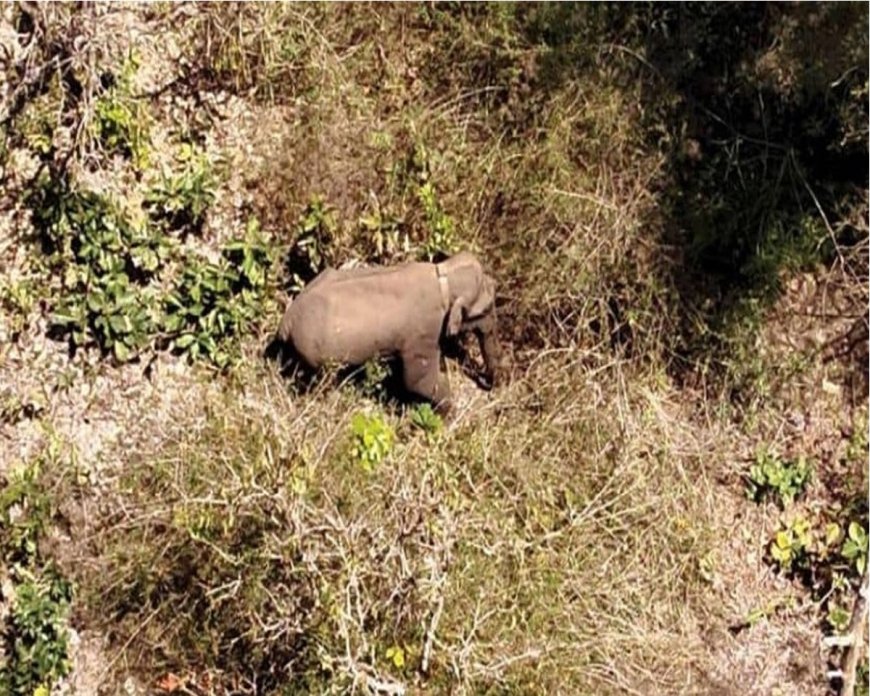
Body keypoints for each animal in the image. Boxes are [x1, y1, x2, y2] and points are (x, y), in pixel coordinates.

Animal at [276, 250, 508, 414]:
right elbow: (417, 381)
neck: (442, 275)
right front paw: (449, 412)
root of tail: (287, 321)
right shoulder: (424, 331)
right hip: (315, 356)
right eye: (486, 308)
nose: (492, 387)